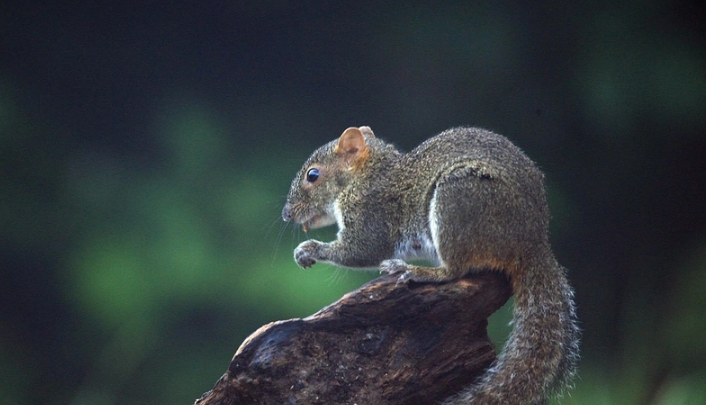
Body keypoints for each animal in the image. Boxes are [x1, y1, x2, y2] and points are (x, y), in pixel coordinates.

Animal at [280, 126, 576, 404]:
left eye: (313, 175)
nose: (286, 214)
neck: (367, 175)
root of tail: (533, 244)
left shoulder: (371, 213)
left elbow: (363, 250)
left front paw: (309, 249)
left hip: (457, 199)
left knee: (455, 270)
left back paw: (416, 271)